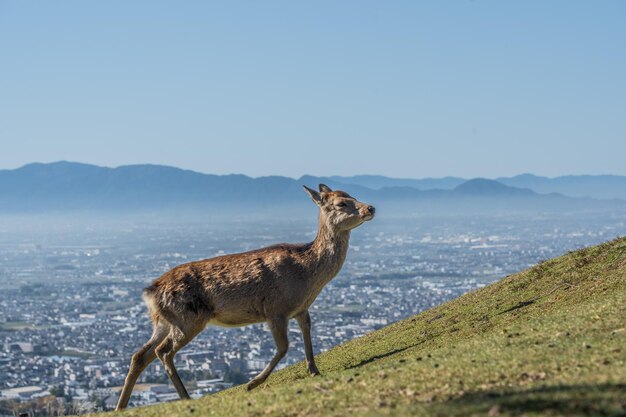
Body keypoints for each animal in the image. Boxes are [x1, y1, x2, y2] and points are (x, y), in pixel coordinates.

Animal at [114, 184, 372, 408]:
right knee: (163, 351)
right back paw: (186, 397)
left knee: (140, 355)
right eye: (341, 203)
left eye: (352, 194)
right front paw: (253, 383)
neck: (308, 276)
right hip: (188, 317)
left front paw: (314, 370)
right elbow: (284, 347)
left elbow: (307, 335)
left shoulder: (301, 308)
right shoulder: (276, 310)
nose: (370, 208)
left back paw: (121, 406)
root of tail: (151, 293)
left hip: (163, 321)